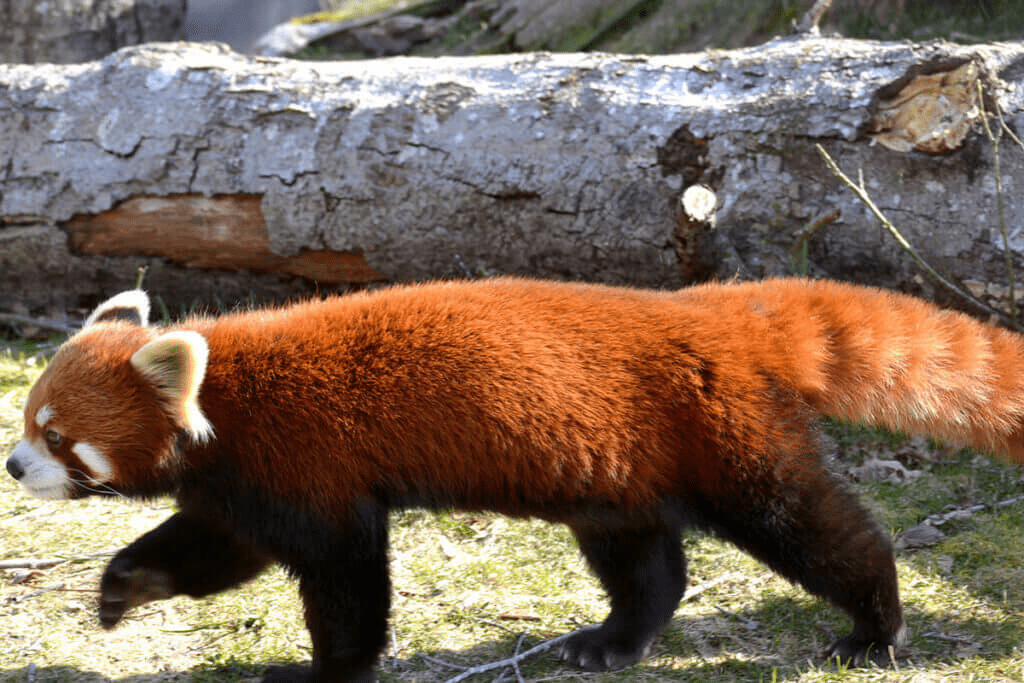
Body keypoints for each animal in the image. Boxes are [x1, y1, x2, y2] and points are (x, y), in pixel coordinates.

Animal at [6, 278, 1024, 683]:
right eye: (25, 421)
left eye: (56, 435)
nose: (13, 465)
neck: (227, 398)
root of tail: (724, 310)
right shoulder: (242, 490)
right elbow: (212, 551)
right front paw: (121, 588)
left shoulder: (309, 466)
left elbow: (344, 579)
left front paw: (330, 669)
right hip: (617, 467)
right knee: (645, 562)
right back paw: (612, 640)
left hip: (725, 437)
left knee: (810, 525)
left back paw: (875, 626)